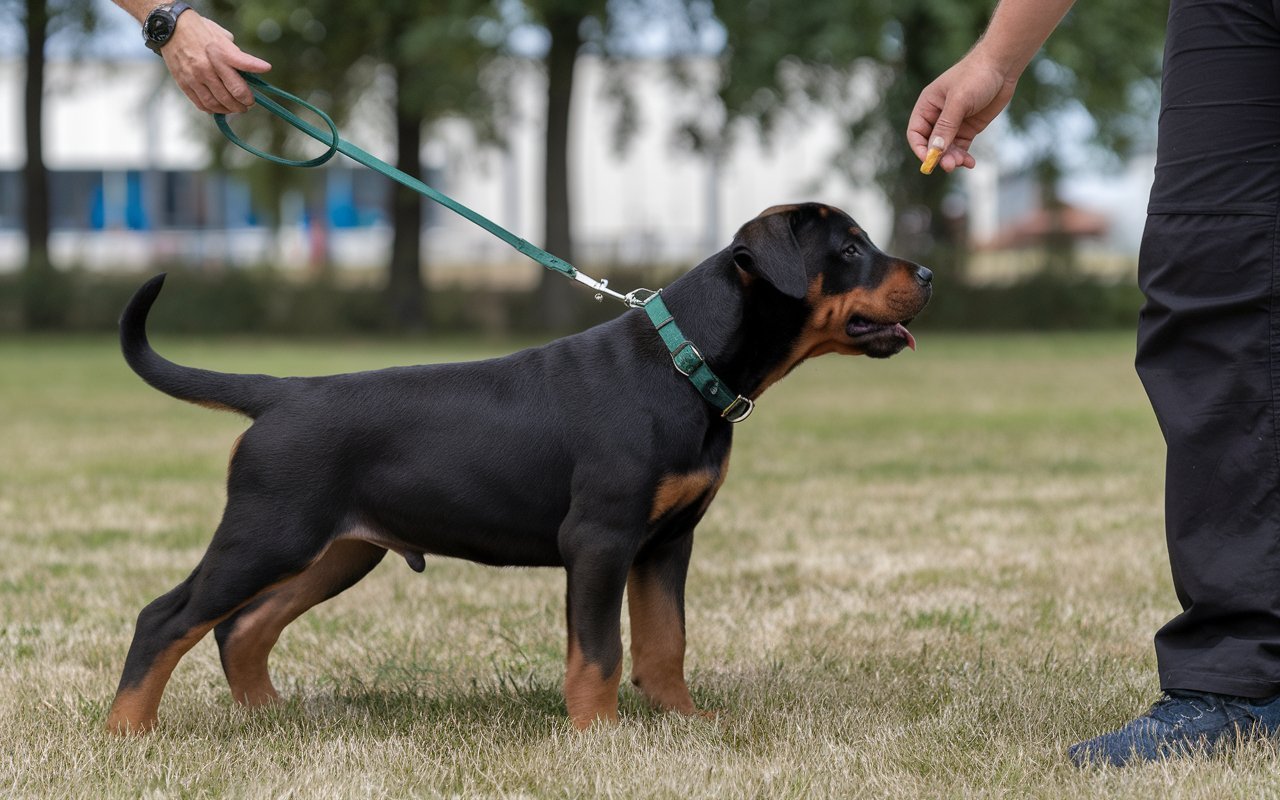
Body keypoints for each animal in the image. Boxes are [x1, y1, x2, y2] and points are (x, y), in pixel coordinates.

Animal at [107, 200, 931, 732]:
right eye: (850, 249)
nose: (925, 274)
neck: (685, 361)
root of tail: (282, 393)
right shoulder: (599, 539)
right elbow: (598, 651)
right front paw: (599, 736)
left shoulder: (666, 543)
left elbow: (665, 642)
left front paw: (684, 723)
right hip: (268, 533)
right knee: (167, 618)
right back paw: (126, 733)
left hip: (338, 550)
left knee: (241, 627)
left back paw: (271, 719)